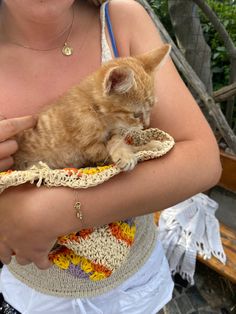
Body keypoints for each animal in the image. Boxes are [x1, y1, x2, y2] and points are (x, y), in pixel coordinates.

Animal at [13, 45, 171, 170]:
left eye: (150, 110)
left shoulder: (110, 133)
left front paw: (144, 147)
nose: (146, 125)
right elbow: (117, 149)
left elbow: (117, 140)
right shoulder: (90, 147)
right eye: (136, 115)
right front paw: (132, 153)